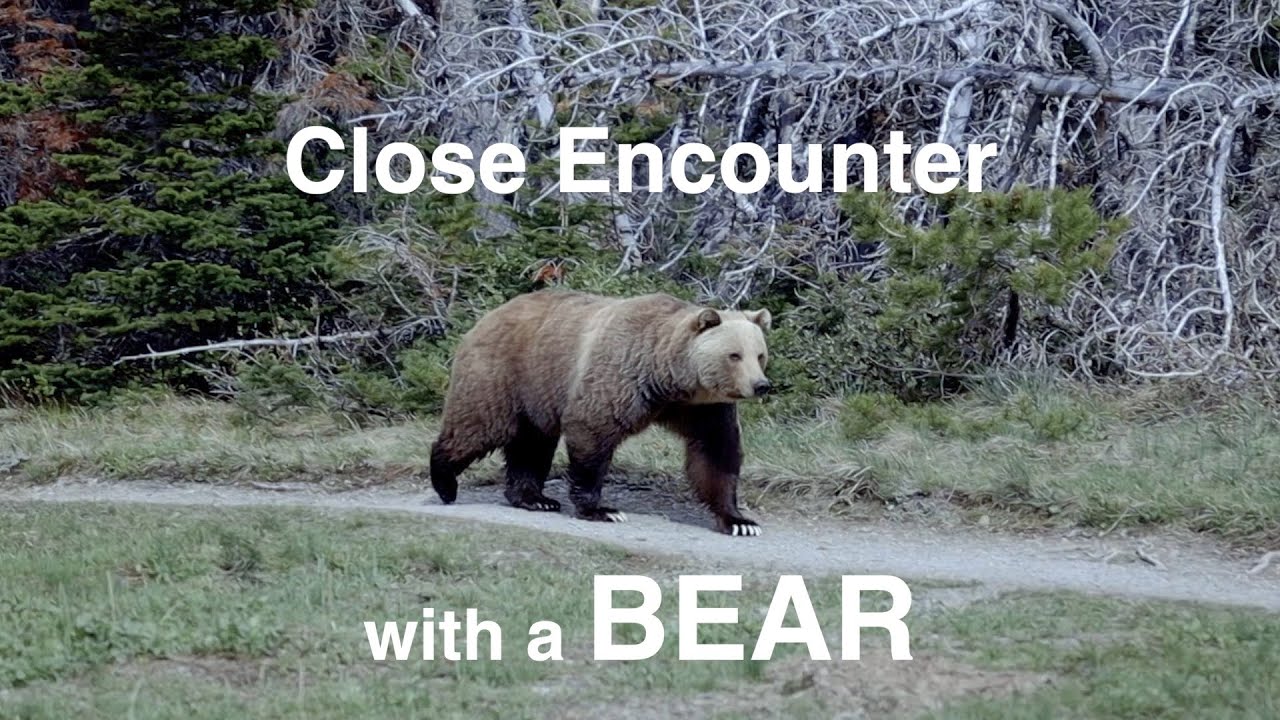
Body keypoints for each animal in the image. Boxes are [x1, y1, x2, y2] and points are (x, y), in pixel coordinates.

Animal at [428, 289, 773, 536]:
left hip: (537, 396)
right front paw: (602, 510)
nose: (760, 385)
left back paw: (536, 498)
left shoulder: (702, 408)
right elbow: (592, 432)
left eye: (759, 354)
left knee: (531, 445)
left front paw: (740, 521)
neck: (667, 378)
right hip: (504, 374)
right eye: (734, 355)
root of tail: (487, 316)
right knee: (478, 427)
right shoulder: (618, 378)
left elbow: (716, 453)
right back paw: (445, 482)